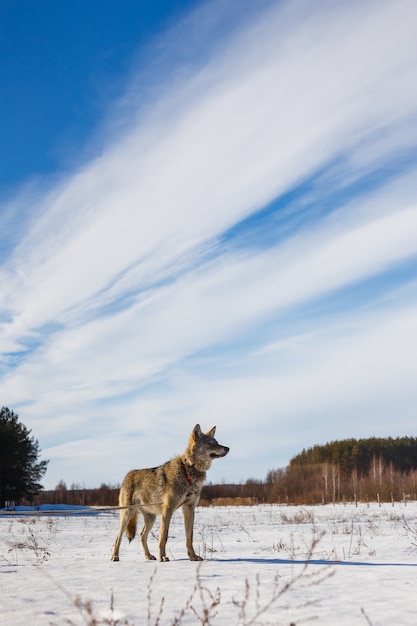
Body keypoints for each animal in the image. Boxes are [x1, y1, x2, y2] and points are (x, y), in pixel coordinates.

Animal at [110, 424, 229, 560]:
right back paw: (115, 556)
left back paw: (148, 556)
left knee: (141, 535)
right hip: (127, 514)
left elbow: (190, 537)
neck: (188, 471)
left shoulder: (189, 508)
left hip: (150, 518)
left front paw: (193, 557)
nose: (227, 448)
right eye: (209, 443)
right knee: (118, 536)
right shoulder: (168, 509)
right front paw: (162, 557)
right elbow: (163, 536)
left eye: (217, 442)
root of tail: (127, 475)